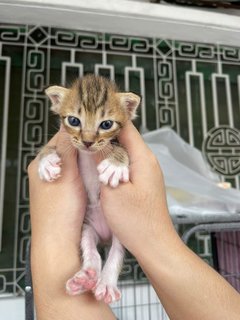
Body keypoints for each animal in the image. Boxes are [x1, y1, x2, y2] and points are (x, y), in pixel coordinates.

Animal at [38, 74, 141, 304]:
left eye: (106, 124)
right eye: (74, 121)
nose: (86, 142)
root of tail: (104, 236)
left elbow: (121, 148)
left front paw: (115, 164)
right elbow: (49, 147)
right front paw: (46, 160)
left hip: (120, 230)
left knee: (115, 254)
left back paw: (106, 284)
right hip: (88, 228)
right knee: (91, 251)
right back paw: (85, 278)